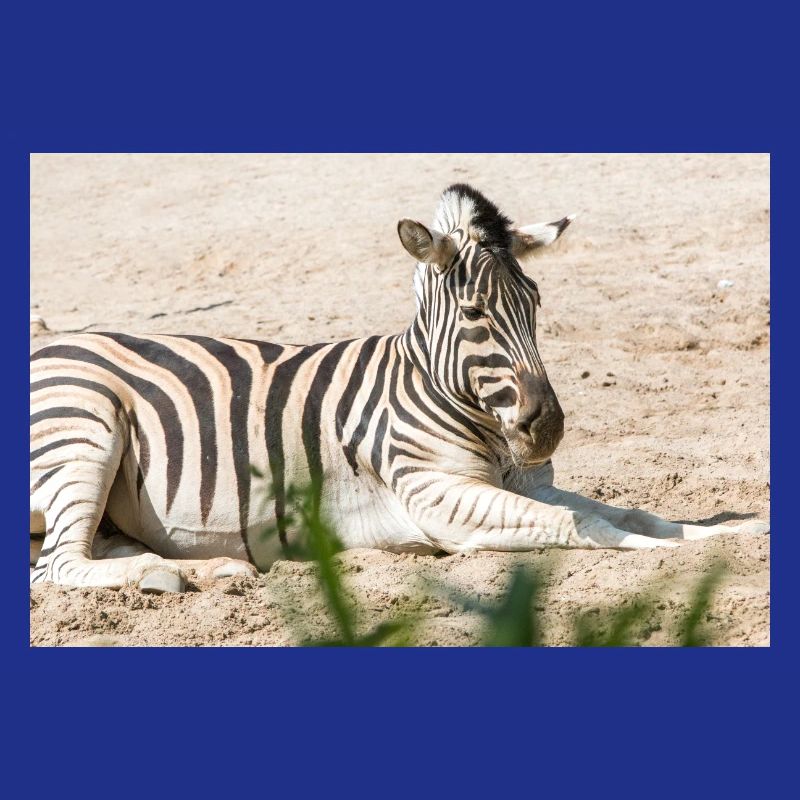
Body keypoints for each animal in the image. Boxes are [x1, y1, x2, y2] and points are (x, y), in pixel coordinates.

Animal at [30, 183, 769, 593]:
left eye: (536, 302)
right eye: (475, 314)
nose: (547, 429)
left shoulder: (522, 483)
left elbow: (638, 513)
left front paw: (732, 531)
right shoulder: (437, 496)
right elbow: (585, 526)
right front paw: (668, 555)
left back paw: (198, 571)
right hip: (85, 426)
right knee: (59, 566)